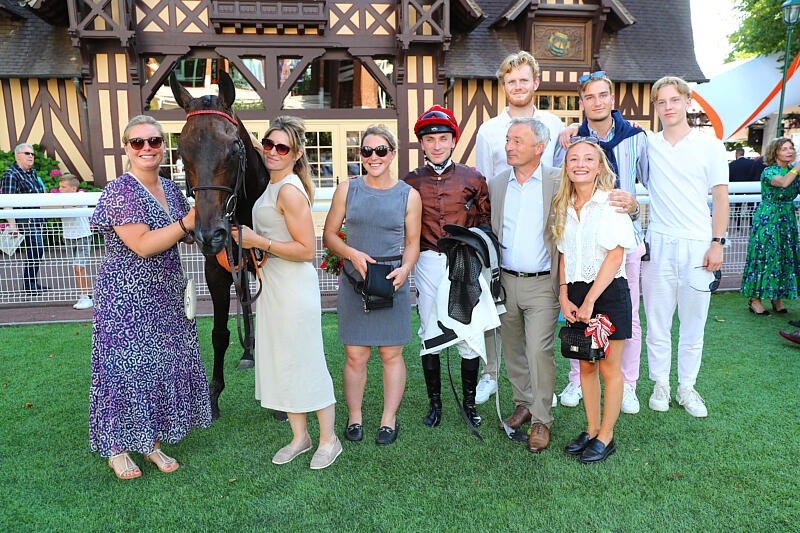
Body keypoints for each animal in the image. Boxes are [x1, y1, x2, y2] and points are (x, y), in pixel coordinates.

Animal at [169, 71, 269, 420]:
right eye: (182, 150)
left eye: (234, 148)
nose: (209, 234)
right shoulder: (216, 269)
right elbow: (220, 333)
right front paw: (212, 395)